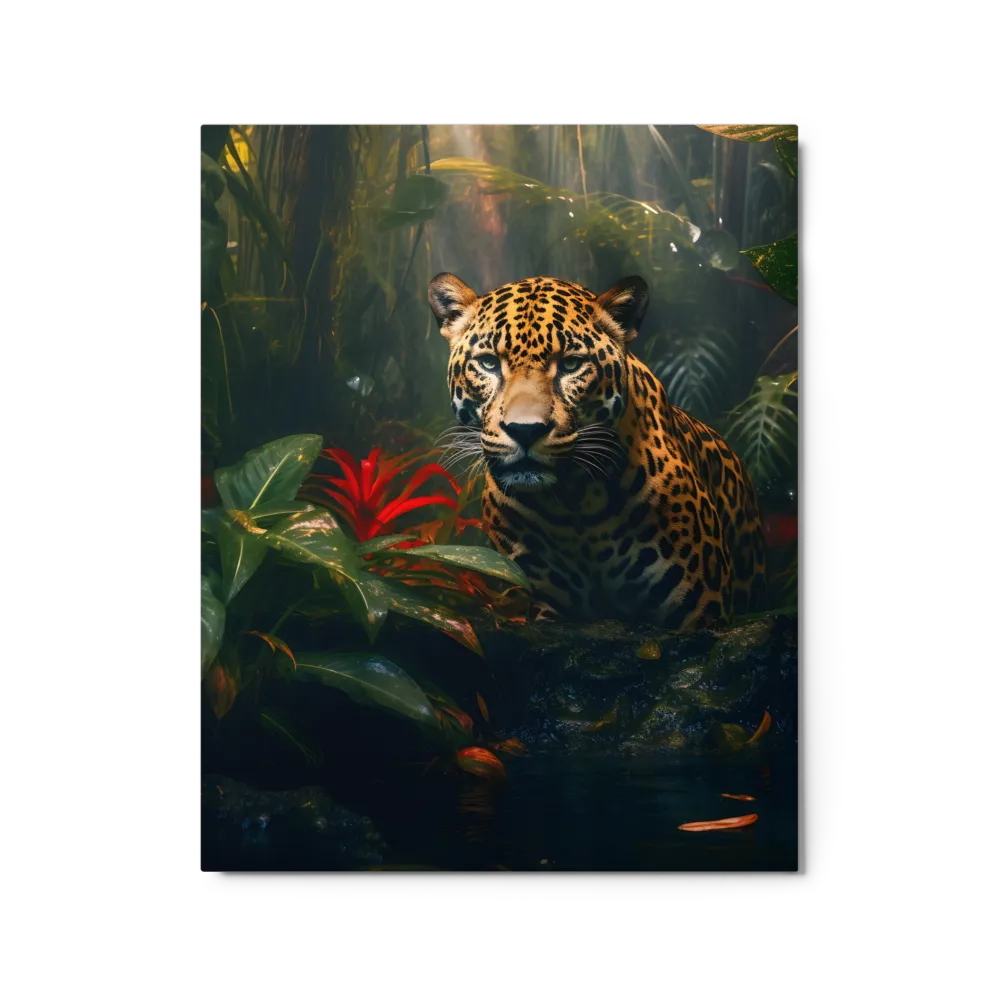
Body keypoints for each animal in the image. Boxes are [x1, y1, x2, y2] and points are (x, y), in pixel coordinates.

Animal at [428, 272, 767, 631]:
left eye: (571, 364)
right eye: (488, 363)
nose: (525, 430)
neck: (575, 509)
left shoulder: (702, 611)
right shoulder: (550, 606)